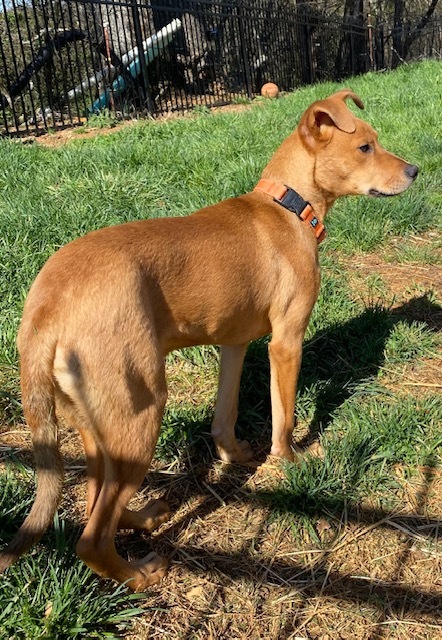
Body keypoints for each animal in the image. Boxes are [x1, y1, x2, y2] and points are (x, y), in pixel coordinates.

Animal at [0, 90, 418, 592]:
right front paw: (289, 460)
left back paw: (141, 518)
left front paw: (234, 456)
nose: (416, 171)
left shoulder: (234, 345)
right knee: (91, 537)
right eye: (364, 148)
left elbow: (225, 414)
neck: (288, 206)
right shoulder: (286, 341)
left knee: (94, 499)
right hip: (141, 413)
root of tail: (44, 308)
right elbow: (284, 416)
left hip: (98, 423)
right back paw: (138, 574)